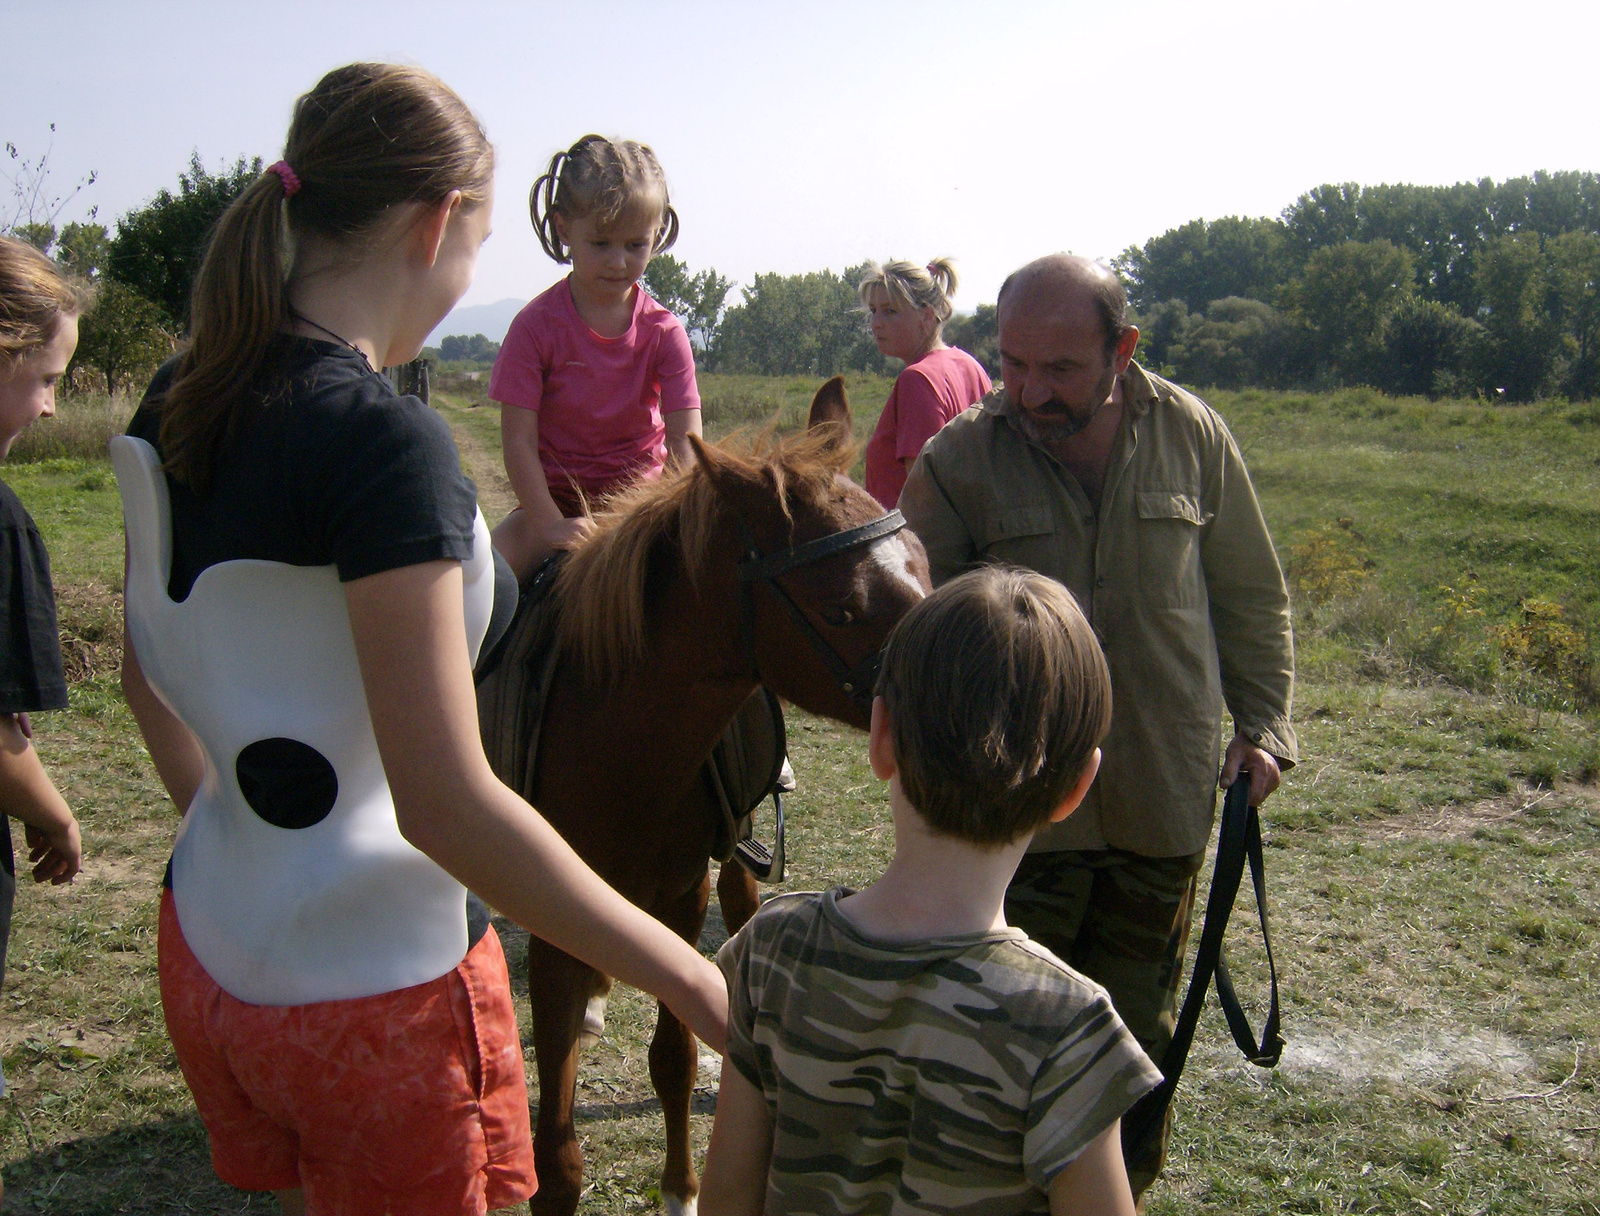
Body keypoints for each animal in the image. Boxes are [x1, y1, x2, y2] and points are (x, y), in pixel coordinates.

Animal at [492, 384, 934, 1216]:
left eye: (922, 565)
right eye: (842, 609)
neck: (618, 741)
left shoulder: (682, 891)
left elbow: (671, 1058)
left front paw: (681, 1192)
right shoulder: (549, 912)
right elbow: (555, 1149)